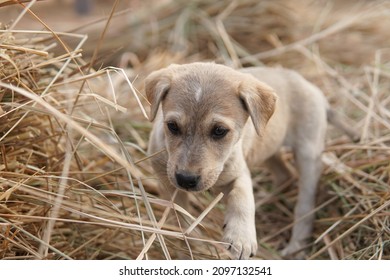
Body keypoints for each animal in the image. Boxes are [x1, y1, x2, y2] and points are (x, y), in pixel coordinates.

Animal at [145, 62, 356, 260]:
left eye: (219, 131)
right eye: (172, 126)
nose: (186, 179)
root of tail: (315, 90)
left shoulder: (239, 173)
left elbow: (242, 198)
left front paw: (241, 238)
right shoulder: (167, 183)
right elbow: (180, 217)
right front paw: (190, 247)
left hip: (308, 153)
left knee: (304, 203)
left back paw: (296, 246)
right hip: (267, 147)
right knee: (285, 175)